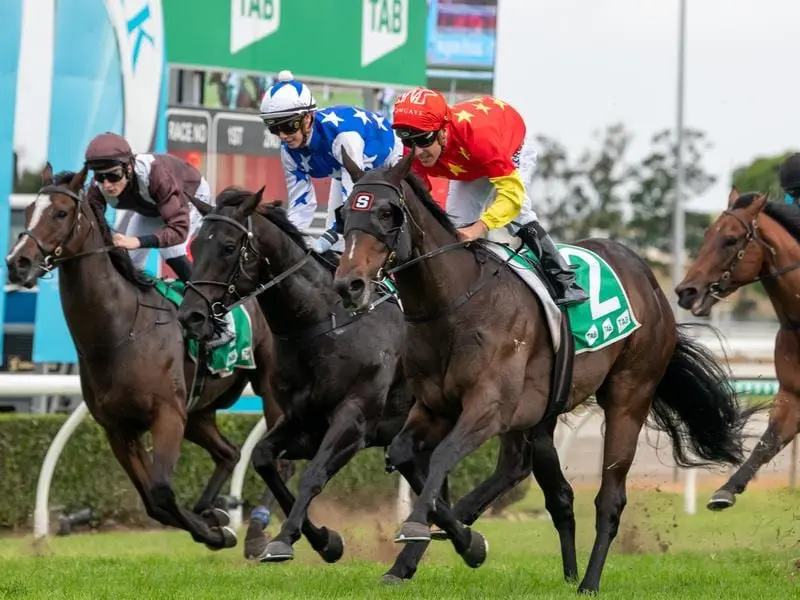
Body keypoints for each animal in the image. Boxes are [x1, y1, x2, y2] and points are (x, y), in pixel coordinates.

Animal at [5, 164, 282, 548]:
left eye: (60, 213)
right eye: (31, 209)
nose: (17, 262)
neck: (120, 331)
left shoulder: (167, 416)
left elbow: (162, 491)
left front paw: (215, 533)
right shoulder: (119, 429)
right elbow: (153, 502)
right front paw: (216, 525)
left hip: (268, 390)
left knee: (277, 454)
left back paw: (258, 527)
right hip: (197, 413)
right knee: (230, 453)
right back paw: (213, 510)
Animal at [177, 190, 462, 568]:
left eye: (227, 246)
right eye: (196, 244)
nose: (190, 315)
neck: (323, 324)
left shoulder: (354, 421)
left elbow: (313, 475)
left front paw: (291, 540)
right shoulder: (301, 420)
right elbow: (264, 458)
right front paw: (325, 540)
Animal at [330, 152, 752, 592]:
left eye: (387, 212)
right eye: (344, 214)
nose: (349, 285)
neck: (455, 306)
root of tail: (649, 279)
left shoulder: (489, 407)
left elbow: (443, 454)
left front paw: (425, 530)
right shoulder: (434, 407)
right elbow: (402, 453)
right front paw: (459, 544)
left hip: (629, 394)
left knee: (609, 497)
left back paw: (588, 582)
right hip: (541, 411)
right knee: (535, 478)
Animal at [680, 189, 796, 510]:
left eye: (730, 240)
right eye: (707, 234)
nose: (686, 291)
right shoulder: (792, 394)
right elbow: (769, 441)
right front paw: (726, 490)